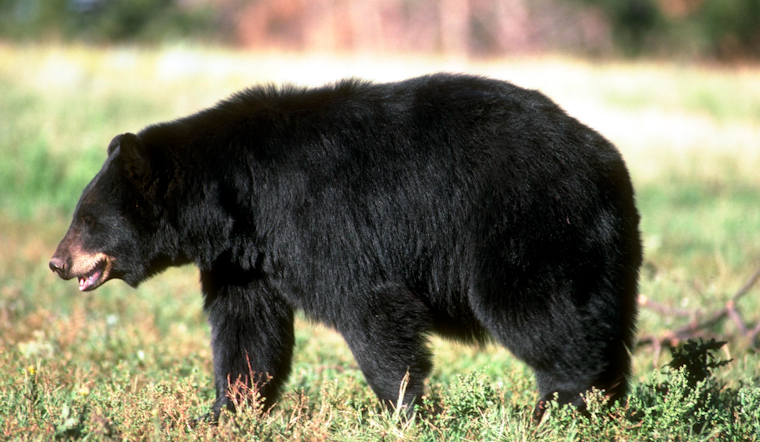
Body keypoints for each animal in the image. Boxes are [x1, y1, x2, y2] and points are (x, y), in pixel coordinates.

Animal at [50, 73, 642, 421]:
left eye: (88, 219)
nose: (58, 261)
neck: (236, 198)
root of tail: (605, 158)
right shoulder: (244, 259)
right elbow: (247, 329)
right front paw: (224, 412)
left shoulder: (317, 217)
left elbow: (368, 305)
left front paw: (402, 410)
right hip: (602, 248)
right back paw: (607, 403)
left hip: (525, 222)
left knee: (537, 313)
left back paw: (561, 405)